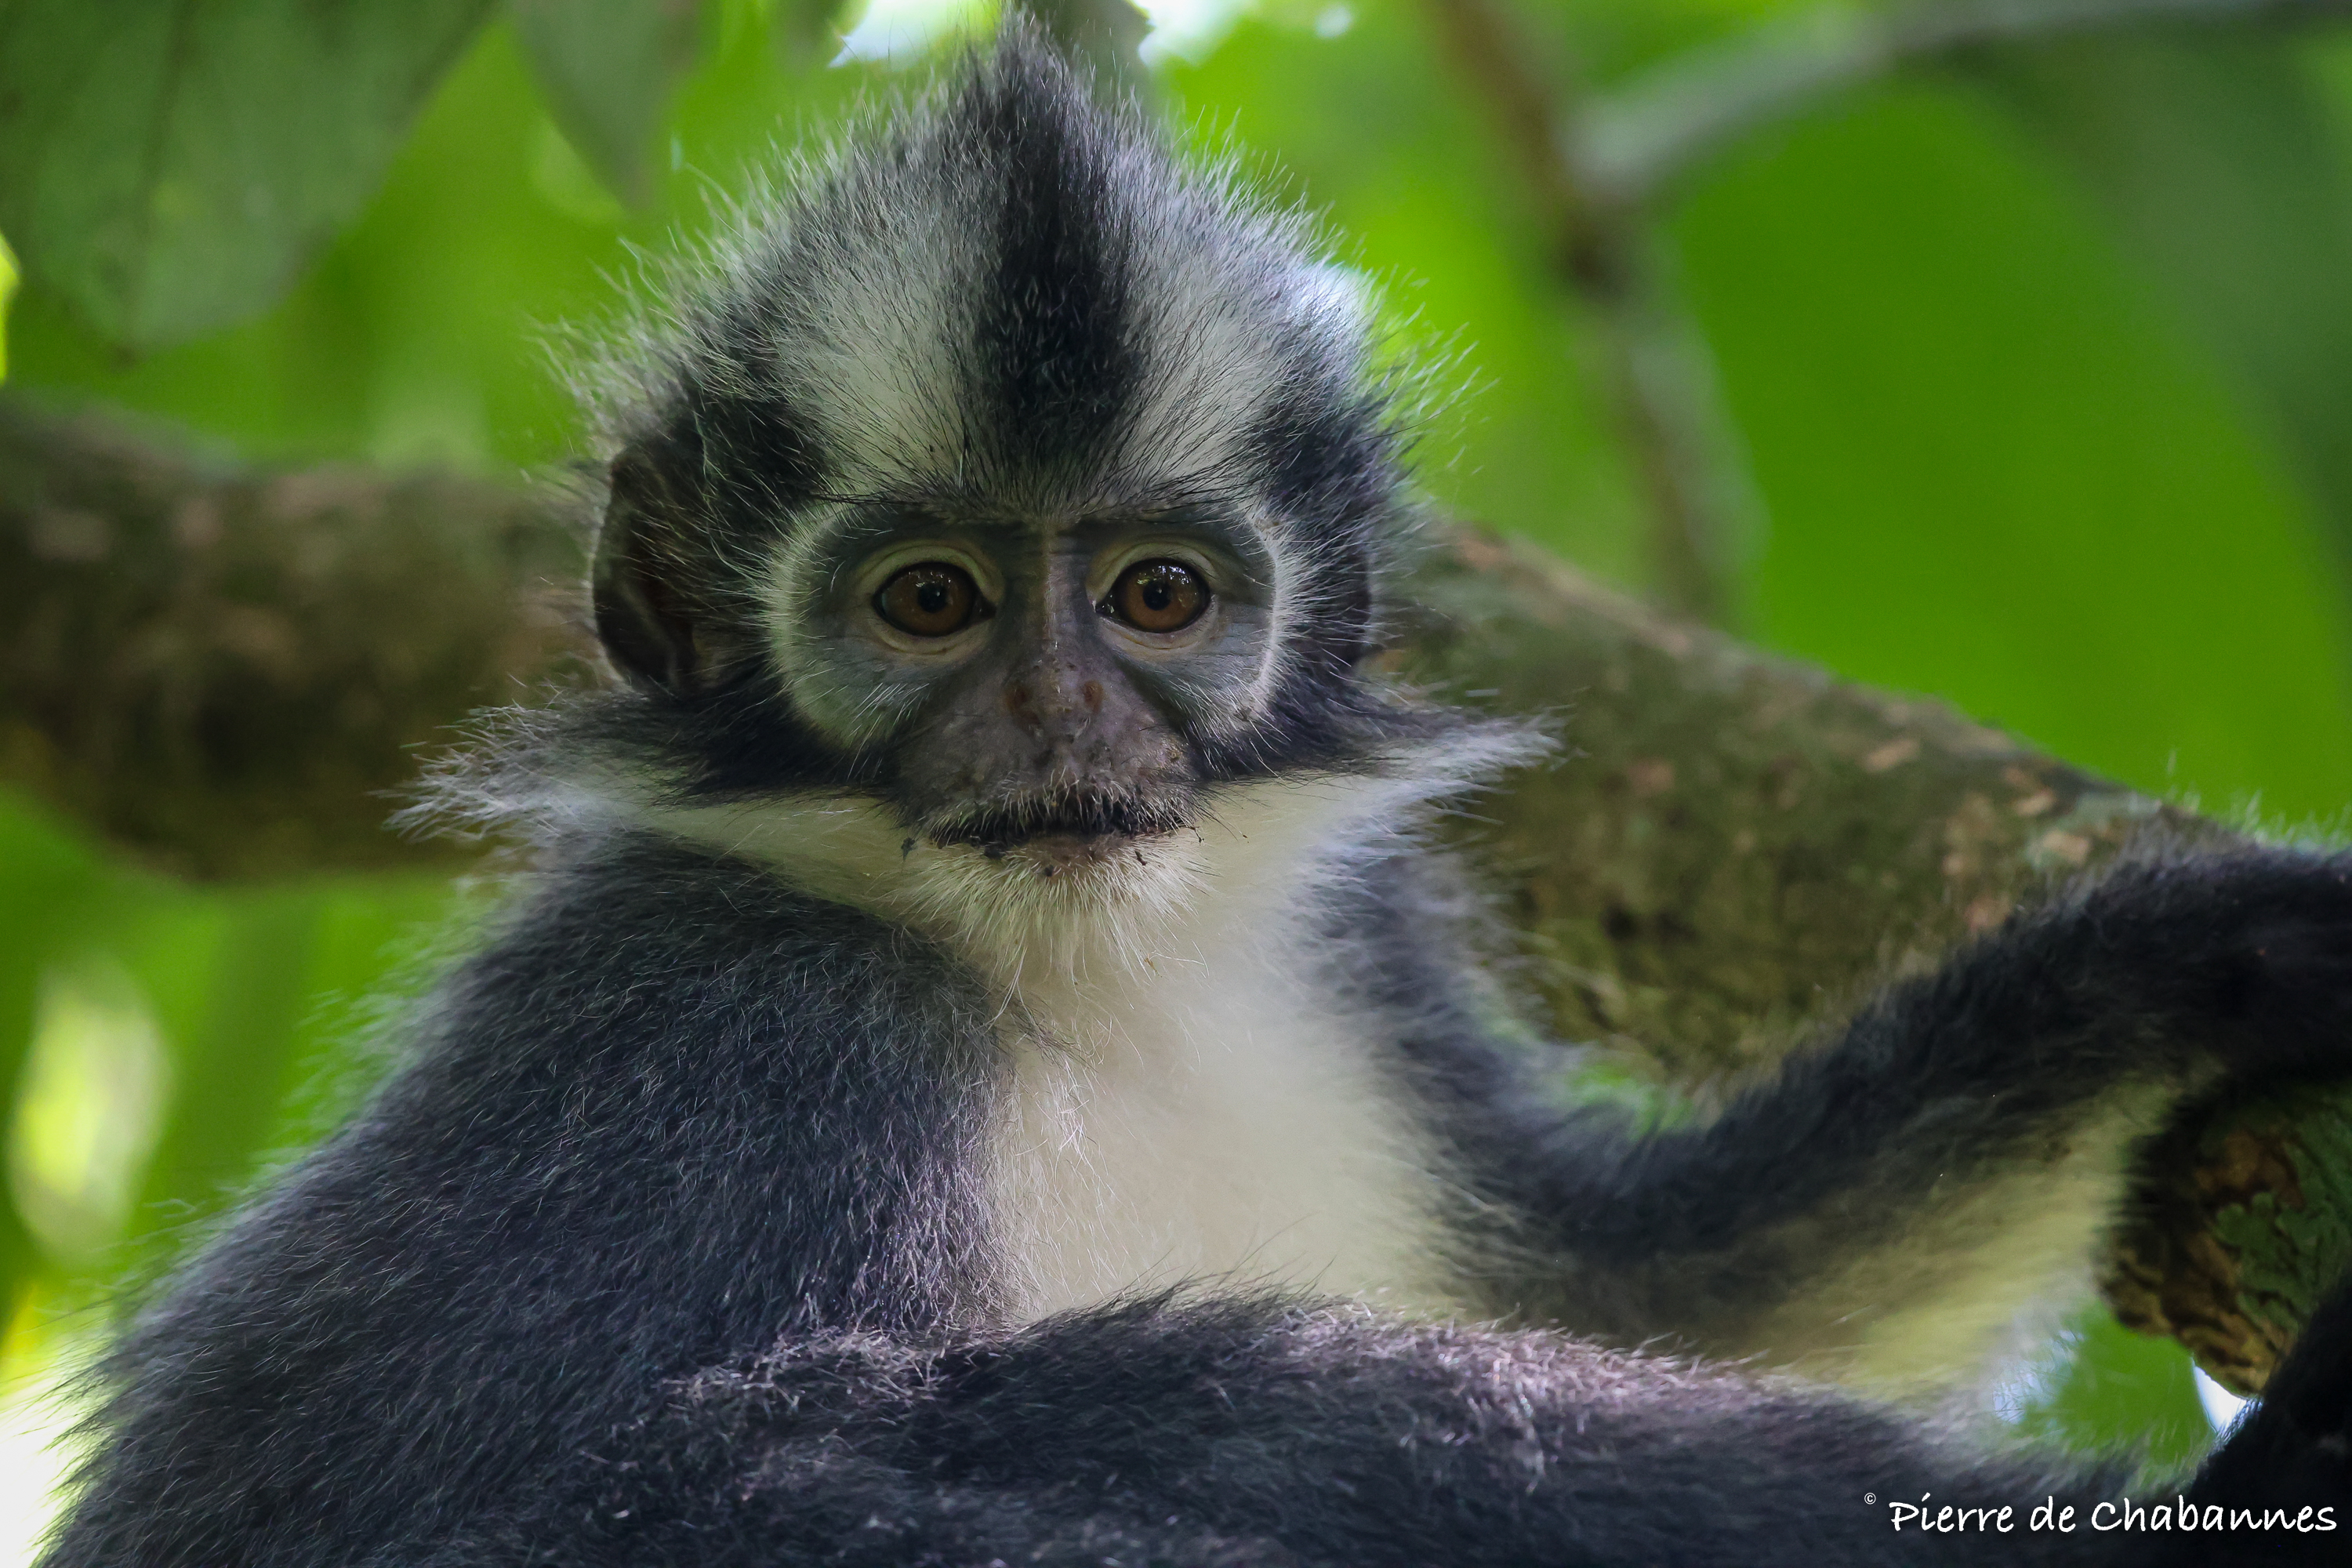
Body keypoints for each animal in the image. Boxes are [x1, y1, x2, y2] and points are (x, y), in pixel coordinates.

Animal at [37, 23, 2352, 1568]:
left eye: (1157, 595)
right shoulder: (726, 1027)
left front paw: (2201, 954)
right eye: (930, 601)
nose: (1062, 715)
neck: (1084, 985)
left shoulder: (1357, 975)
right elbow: (567, 1492)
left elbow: (1686, 1281)